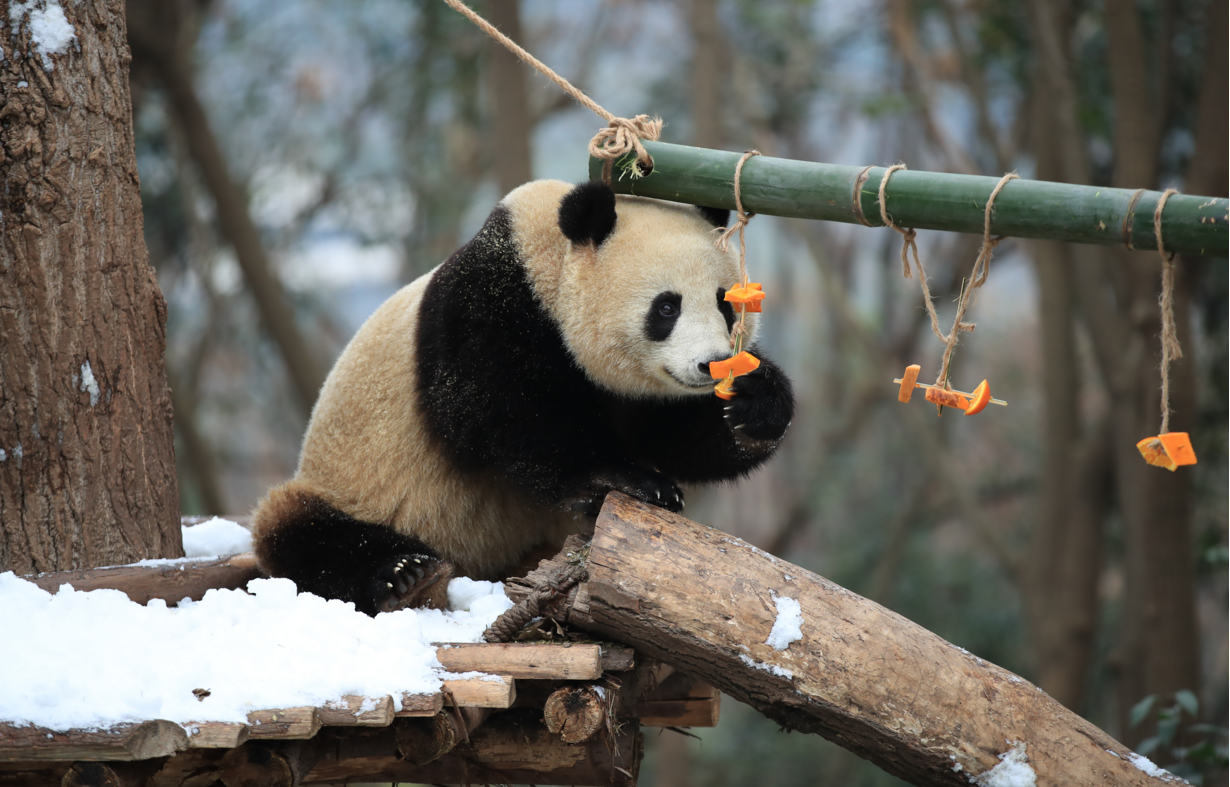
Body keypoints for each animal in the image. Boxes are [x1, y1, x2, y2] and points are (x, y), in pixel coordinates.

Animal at [252, 178, 797, 614]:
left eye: (726, 305)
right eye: (666, 307)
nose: (709, 364)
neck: (547, 258)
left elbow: (677, 435)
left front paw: (753, 402)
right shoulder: (489, 307)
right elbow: (493, 411)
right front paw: (626, 478)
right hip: (348, 485)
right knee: (304, 532)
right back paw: (401, 573)